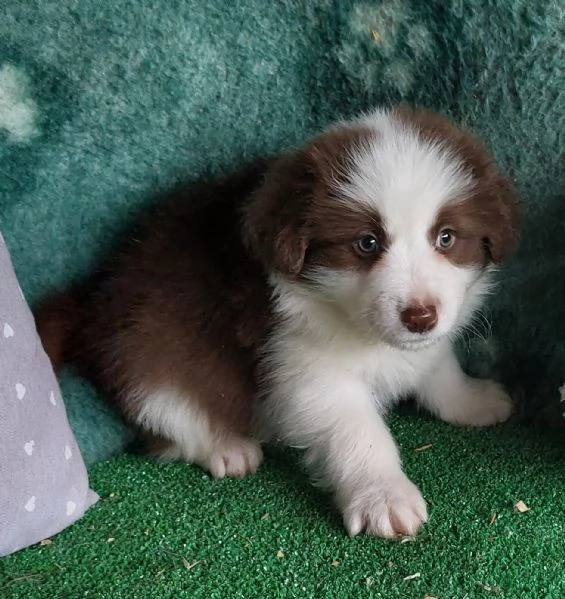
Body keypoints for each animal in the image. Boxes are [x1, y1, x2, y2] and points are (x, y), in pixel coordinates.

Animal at [36, 106, 520, 540]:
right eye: (366, 243)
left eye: (446, 237)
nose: (420, 316)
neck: (354, 324)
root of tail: (92, 302)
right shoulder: (307, 374)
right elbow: (359, 433)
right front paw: (384, 496)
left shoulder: (426, 343)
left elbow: (439, 369)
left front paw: (472, 400)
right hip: (147, 358)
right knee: (169, 419)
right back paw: (226, 447)